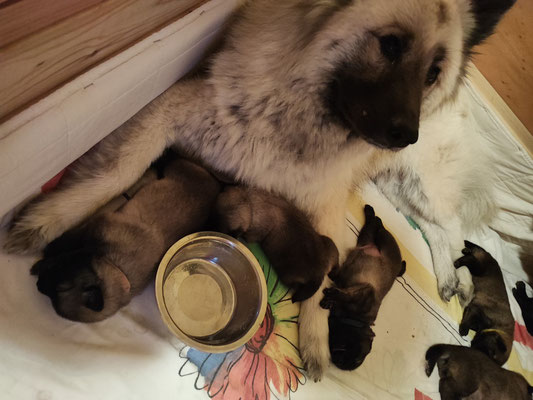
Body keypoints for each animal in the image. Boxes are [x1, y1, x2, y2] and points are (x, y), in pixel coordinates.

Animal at [29, 159, 220, 322]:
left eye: (60, 289)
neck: (115, 265)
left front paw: (43, 256)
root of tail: (214, 187)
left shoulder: (93, 228)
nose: (38, 285)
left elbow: (66, 241)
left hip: (177, 169)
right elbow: (69, 243)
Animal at [318, 205, 406, 370]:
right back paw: (370, 211)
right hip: (383, 240)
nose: (340, 363)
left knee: (372, 226)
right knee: (378, 225)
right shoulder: (364, 292)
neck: (356, 319)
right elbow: (345, 295)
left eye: (355, 361)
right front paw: (332, 296)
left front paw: (329, 301)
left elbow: (339, 291)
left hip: (365, 236)